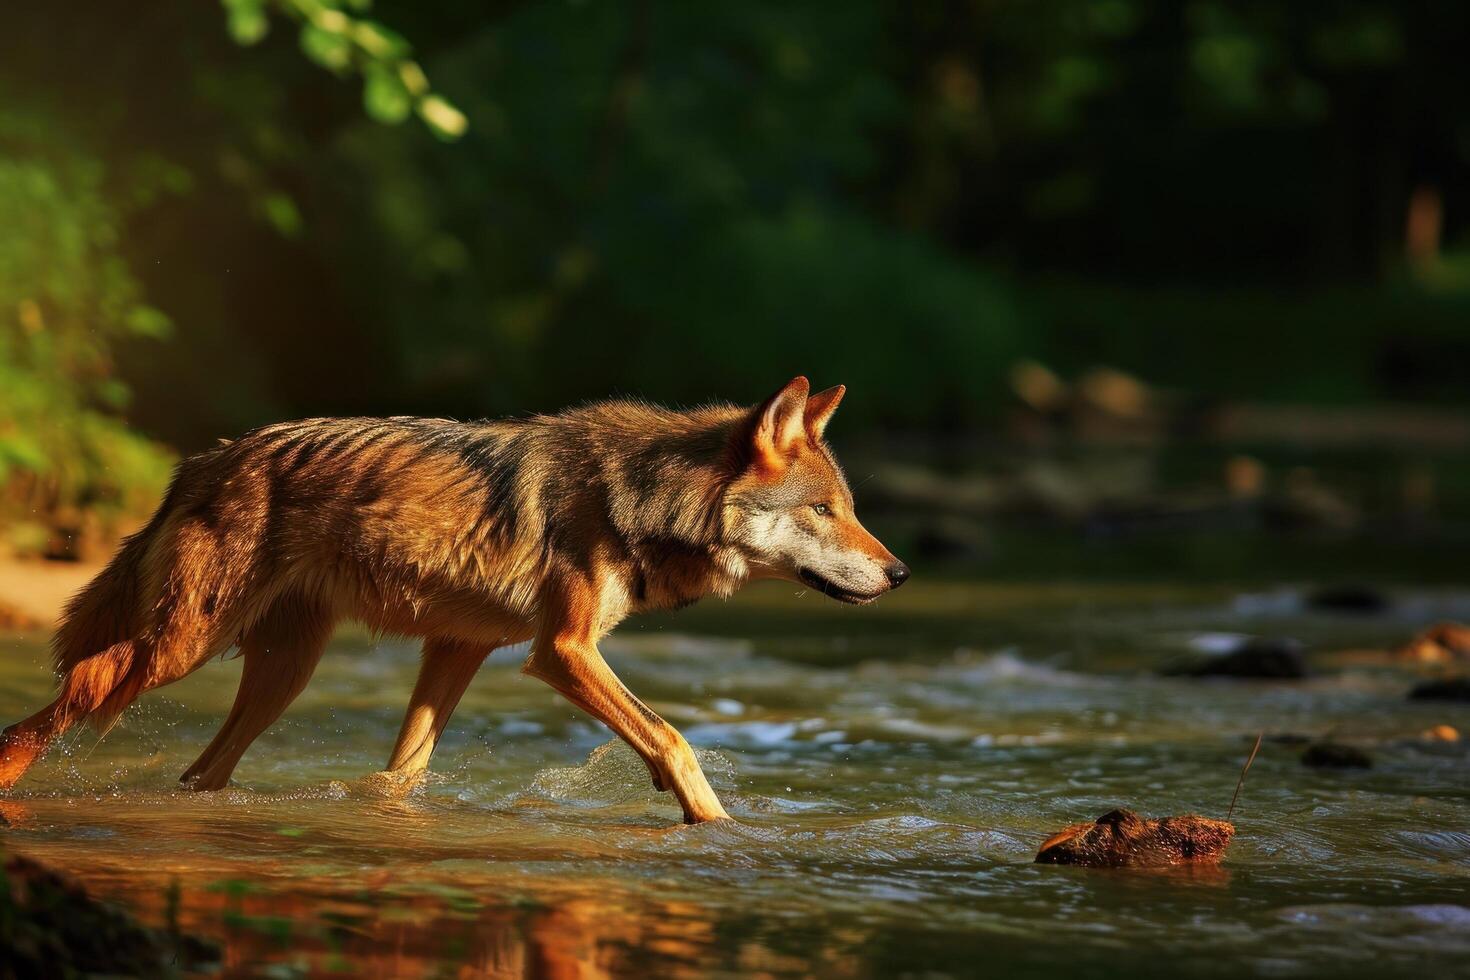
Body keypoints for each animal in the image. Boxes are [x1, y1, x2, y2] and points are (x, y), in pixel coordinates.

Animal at [0, 379, 905, 822]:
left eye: (851, 507)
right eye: (825, 511)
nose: (899, 575)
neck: (643, 498)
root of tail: (204, 459)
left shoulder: (461, 648)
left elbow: (403, 772)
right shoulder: (562, 652)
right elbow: (674, 741)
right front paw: (718, 827)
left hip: (283, 672)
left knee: (199, 773)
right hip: (176, 649)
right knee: (58, 705)